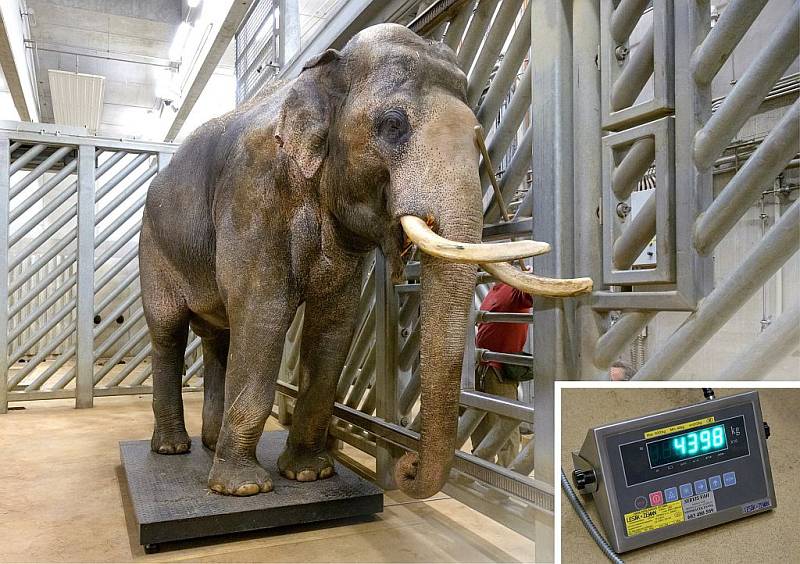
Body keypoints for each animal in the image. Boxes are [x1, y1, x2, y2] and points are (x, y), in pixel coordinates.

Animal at [138, 22, 592, 498]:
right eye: (392, 125)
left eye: (477, 134)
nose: (409, 465)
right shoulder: (251, 194)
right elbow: (263, 315)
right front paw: (243, 489)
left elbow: (333, 325)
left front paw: (309, 473)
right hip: (153, 248)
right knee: (168, 332)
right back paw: (173, 449)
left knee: (217, 336)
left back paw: (209, 444)